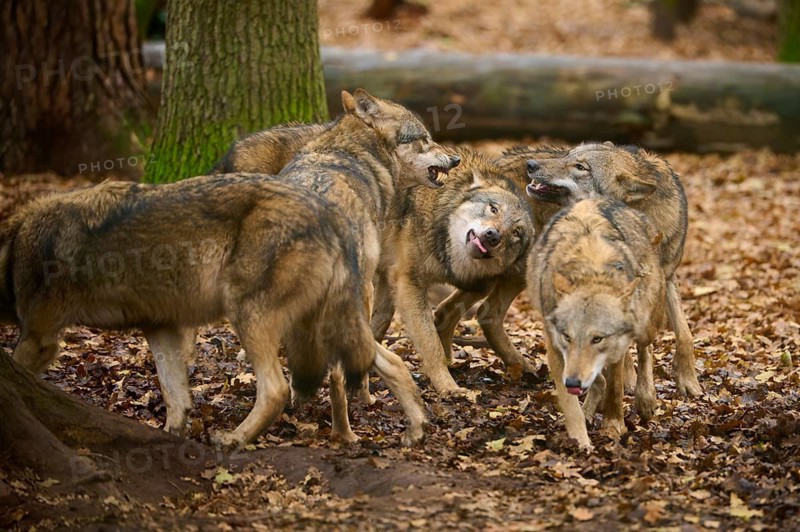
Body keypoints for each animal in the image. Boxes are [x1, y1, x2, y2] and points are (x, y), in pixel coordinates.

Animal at [0, 174, 382, 447]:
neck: (15, 246)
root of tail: (331, 213)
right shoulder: (160, 327)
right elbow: (176, 395)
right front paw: (171, 437)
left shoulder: (39, 337)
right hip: (310, 327)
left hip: (247, 315)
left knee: (276, 389)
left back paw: (235, 438)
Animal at [370, 147, 535, 396]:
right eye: (493, 209)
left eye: (516, 233)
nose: (493, 236)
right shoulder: (408, 282)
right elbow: (431, 345)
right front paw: (447, 386)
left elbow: (381, 324)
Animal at [526, 142, 701, 397]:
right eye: (568, 155)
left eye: (581, 167)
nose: (530, 164)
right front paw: (627, 379)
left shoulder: (666, 279)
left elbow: (685, 333)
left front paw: (688, 380)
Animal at [529, 198, 665, 450]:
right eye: (567, 336)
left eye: (597, 338)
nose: (573, 380)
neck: (590, 268)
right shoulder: (556, 349)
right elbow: (571, 404)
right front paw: (579, 441)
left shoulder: (616, 346)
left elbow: (615, 389)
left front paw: (612, 427)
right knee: (599, 380)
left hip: (647, 324)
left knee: (646, 350)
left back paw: (646, 400)